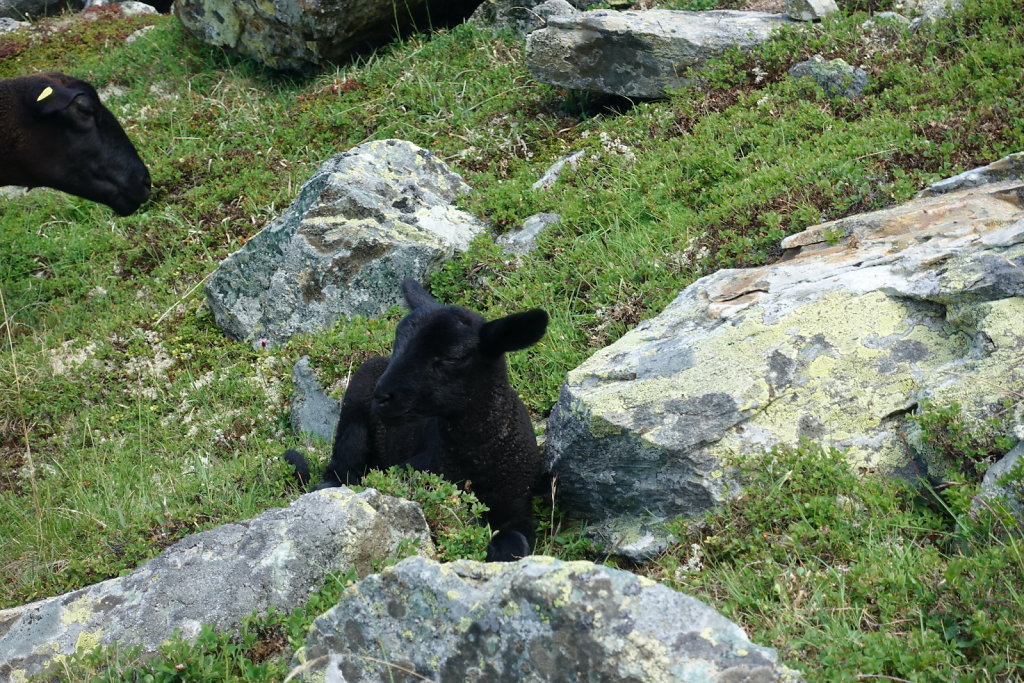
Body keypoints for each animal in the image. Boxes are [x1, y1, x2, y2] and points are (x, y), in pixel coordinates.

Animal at [284, 278, 548, 561]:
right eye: (397, 344)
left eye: (452, 357)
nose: (382, 396)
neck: (476, 455)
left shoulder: (517, 505)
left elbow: (517, 543)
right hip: (351, 425)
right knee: (338, 475)